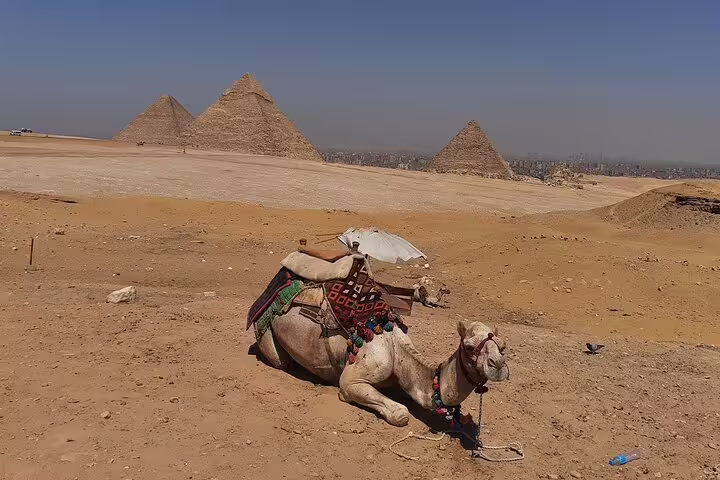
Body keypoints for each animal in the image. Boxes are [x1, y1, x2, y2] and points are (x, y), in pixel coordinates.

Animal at [256, 308, 509, 427]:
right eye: (468, 346)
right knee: (280, 360)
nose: (498, 365)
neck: (396, 349)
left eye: (503, 347)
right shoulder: (350, 380)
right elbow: (401, 413)